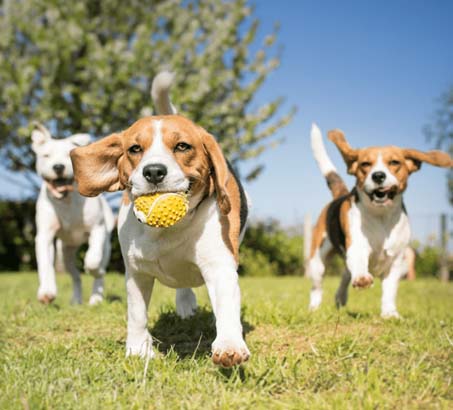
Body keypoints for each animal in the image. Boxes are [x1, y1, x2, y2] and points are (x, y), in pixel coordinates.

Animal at [31, 123, 114, 306]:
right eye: (46, 155)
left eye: (68, 155)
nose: (58, 166)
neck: (66, 200)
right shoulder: (45, 236)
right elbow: (45, 264)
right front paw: (46, 292)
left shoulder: (97, 229)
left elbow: (93, 260)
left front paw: (93, 269)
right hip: (65, 254)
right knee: (75, 276)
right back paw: (76, 300)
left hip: (106, 245)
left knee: (99, 268)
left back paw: (96, 298)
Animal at [69, 72, 251, 366]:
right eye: (134, 149)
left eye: (182, 146)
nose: (154, 171)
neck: (168, 231)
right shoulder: (136, 273)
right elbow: (136, 314)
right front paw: (138, 350)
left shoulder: (219, 266)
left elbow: (226, 308)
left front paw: (229, 345)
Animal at [306, 124, 450, 318]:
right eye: (365, 164)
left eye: (394, 162)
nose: (378, 176)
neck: (381, 216)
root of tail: (340, 195)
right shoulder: (358, 247)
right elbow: (359, 263)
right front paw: (362, 279)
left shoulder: (396, 261)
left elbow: (390, 290)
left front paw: (390, 313)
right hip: (317, 261)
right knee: (317, 287)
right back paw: (314, 308)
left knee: (345, 275)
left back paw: (340, 298)